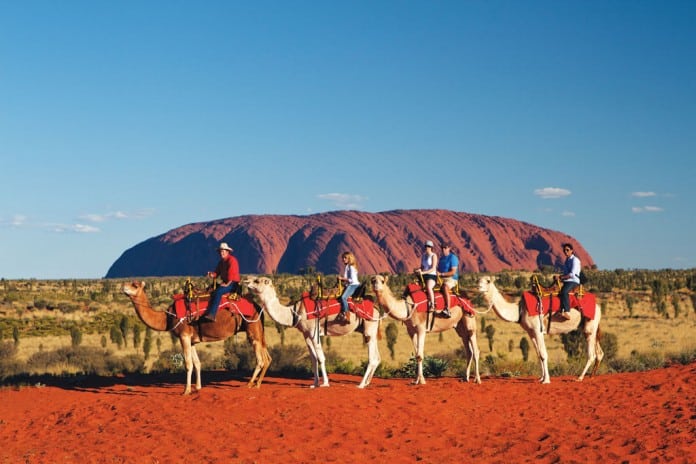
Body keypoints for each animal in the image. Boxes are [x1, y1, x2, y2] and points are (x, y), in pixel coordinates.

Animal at [121, 281, 271, 395]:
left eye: (135, 285)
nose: (123, 287)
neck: (167, 317)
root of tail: (258, 307)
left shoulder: (184, 335)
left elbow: (188, 364)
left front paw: (186, 390)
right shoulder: (192, 339)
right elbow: (197, 363)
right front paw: (198, 387)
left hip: (252, 327)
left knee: (260, 359)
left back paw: (250, 384)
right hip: (258, 330)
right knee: (267, 356)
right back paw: (257, 384)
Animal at [245, 276, 382, 388]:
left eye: (257, 280)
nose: (246, 281)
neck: (294, 312)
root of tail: (376, 309)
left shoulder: (313, 331)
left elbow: (321, 358)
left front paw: (325, 383)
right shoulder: (306, 334)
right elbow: (313, 359)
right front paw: (314, 384)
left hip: (369, 327)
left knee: (372, 358)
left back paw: (361, 384)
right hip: (370, 330)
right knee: (377, 357)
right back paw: (367, 383)